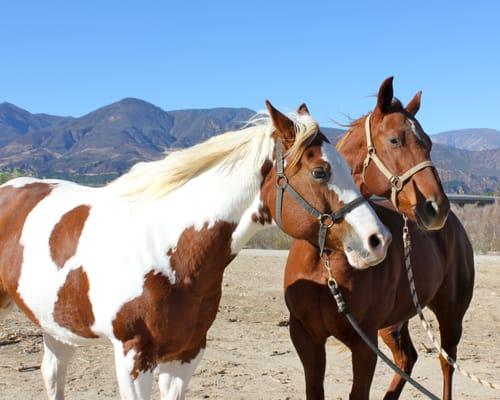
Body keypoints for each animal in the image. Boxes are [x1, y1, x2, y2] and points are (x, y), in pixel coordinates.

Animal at [0, 102, 390, 400]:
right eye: (320, 171)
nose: (379, 240)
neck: (166, 249)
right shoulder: (132, 357)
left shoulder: (185, 356)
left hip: (57, 326)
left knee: (53, 374)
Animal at [286, 76, 472, 398]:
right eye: (395, 140)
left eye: (429, 143)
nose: (436, 207)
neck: (325, 262)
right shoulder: (305, 337)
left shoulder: (364, 343)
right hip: (394, 323)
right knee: (407, 358)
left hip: (450, 316)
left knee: (446, 362)